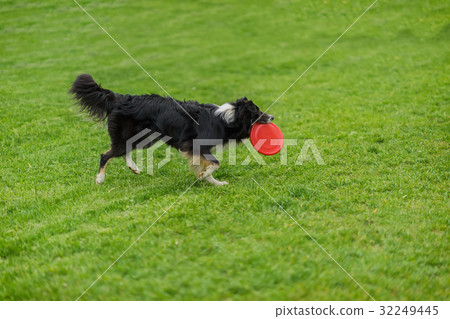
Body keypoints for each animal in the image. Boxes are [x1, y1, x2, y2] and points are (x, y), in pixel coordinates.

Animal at [70, 74, 272, 186]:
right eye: (257, 112)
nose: (272, 117)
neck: (229, 117)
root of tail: (119, 98)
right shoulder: (195, 146)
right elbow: (215, 164)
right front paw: (205, 176)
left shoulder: (198, 150)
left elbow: (208, 165)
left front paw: (215, 182)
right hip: (131, 135)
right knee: (106, 154)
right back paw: (100, 179)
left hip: (145, 138)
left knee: (123, 151)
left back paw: (133, 167)